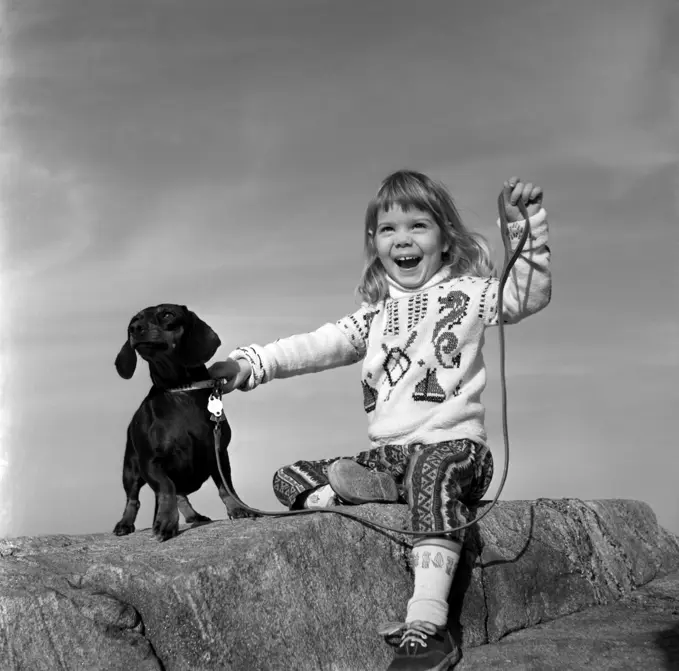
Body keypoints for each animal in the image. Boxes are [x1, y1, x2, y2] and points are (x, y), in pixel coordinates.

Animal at [114, 304, 252, 540]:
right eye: (134, 320)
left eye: (167, 314)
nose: (134, 329)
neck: (181, 390)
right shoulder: (151, 462)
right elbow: (166, 487)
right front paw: (166, 523)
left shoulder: (219, 452)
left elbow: (226, 488)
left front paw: (237, 508)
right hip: (130, 469)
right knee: (133, 499)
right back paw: (125, 523)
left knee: (181, 495)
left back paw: (194, 516)